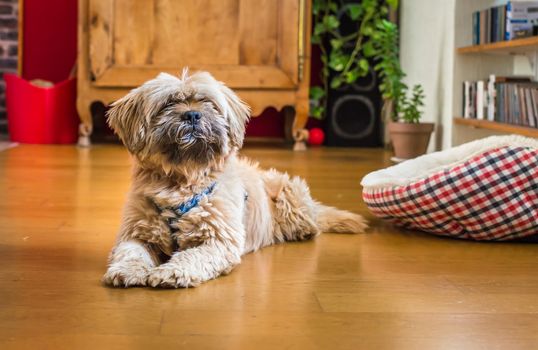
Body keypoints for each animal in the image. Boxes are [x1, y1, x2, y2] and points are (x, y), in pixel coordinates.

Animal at [102, 70, 366, 288]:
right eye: (169, 103)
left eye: (207, 102)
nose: (192, 115)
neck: (182, 182)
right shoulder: (136, 232)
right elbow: (130, 252)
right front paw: (126, 270)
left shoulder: (218, 240)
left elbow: (192, 255)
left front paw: (172, 272)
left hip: (289, 194)